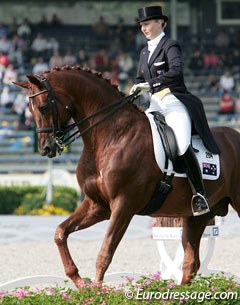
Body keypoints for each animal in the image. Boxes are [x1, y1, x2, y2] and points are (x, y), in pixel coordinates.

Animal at [15, 64, 240, 288]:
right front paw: (79, 282)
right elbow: (60, 233)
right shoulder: (97, 205)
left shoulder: (123, 205)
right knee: (191, 262)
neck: (110, 136)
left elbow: (104, 253)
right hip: (196, 217)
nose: (46, 148)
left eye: (44, 107)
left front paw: (96, 290)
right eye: (30, 110)